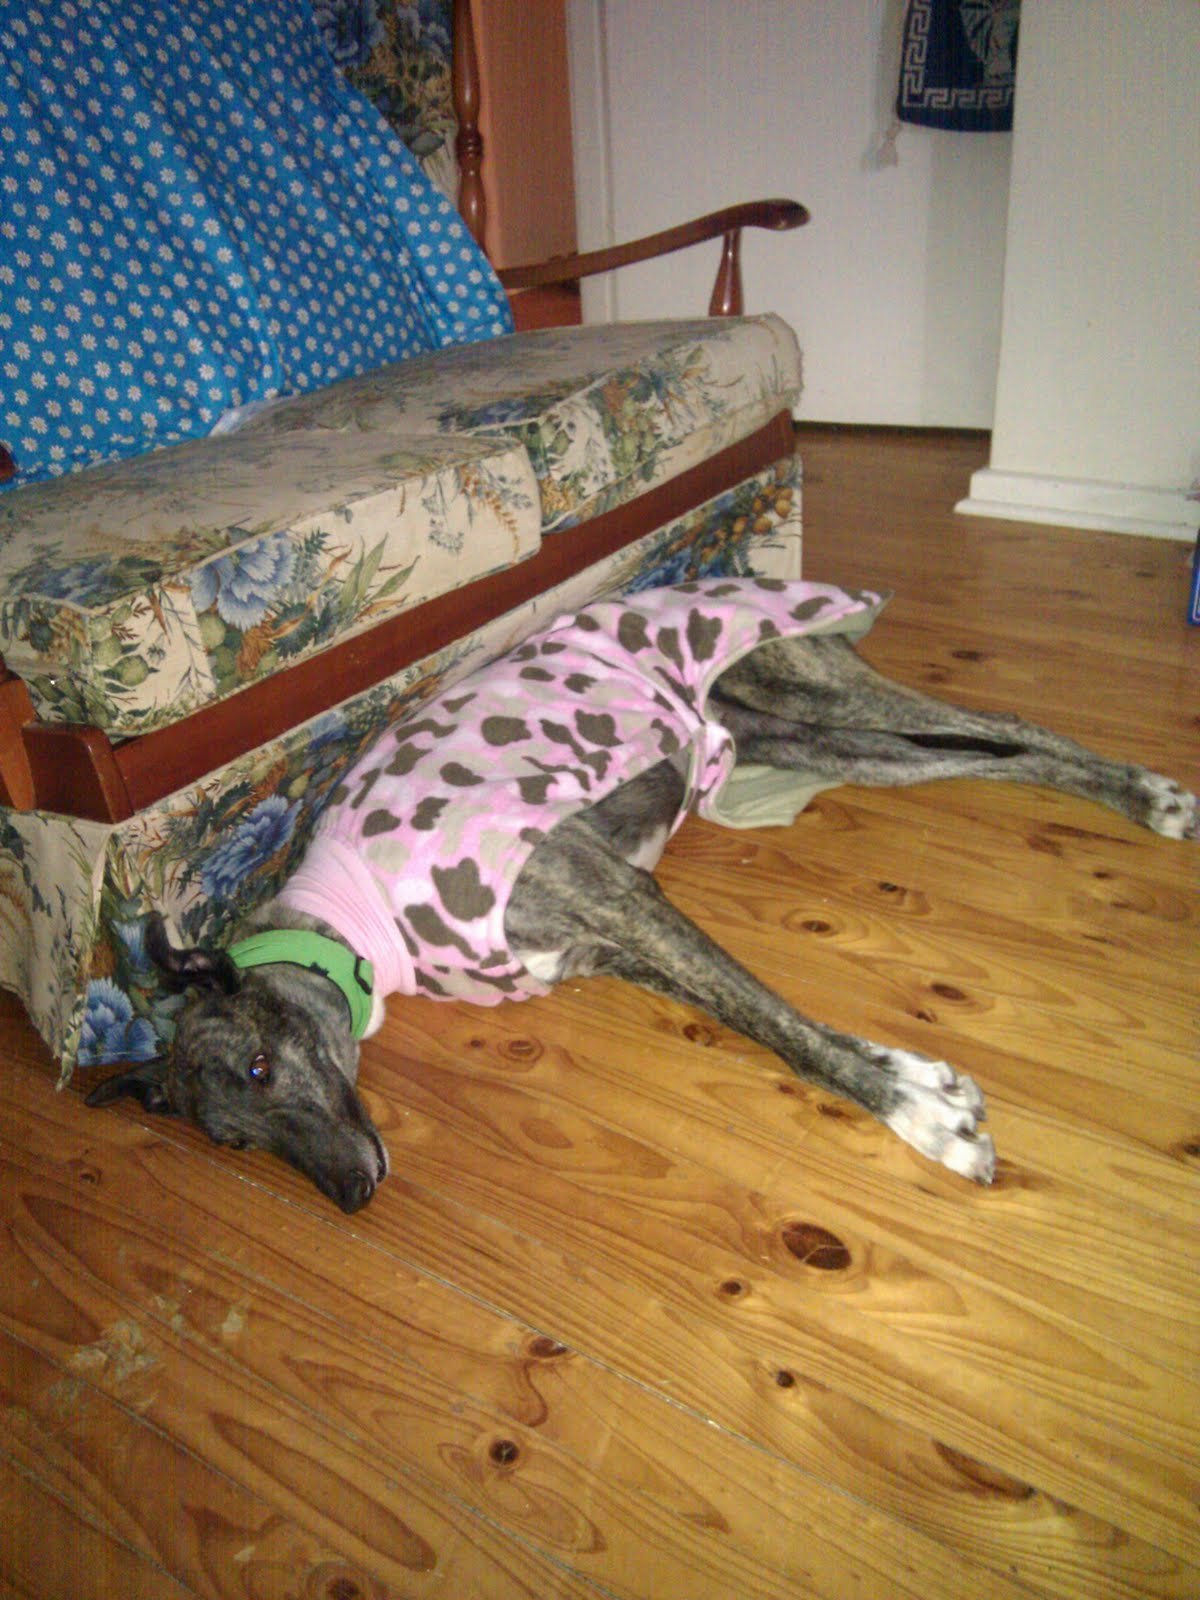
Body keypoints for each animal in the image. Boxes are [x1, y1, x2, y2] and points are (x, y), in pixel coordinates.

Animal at [87, 579, 1198, 1211]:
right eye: (232, 1139)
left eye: (263, 1066)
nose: (353, 1194)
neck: (356, 921)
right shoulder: (611, 945)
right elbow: (764, 1016)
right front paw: (912, 1074)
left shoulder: (621, 897)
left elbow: (784, 1030)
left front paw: (919, 1115)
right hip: (824, 741)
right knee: (996, 751)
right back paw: (1135, 794)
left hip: (809, 686)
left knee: (1014, 723)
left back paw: (1154, 793)